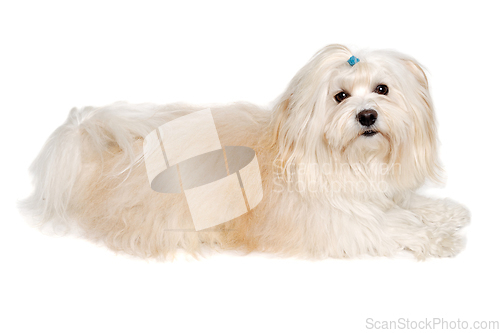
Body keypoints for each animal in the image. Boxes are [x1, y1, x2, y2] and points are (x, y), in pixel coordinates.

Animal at [21, 44, 470, 258]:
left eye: (382, 89)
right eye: (340, 96)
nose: (367, 115)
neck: (348, 162)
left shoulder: (381, 196)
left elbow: (409, 204)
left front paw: (448, 213)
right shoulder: (339, 223)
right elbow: (394, 226)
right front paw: (440, 239)